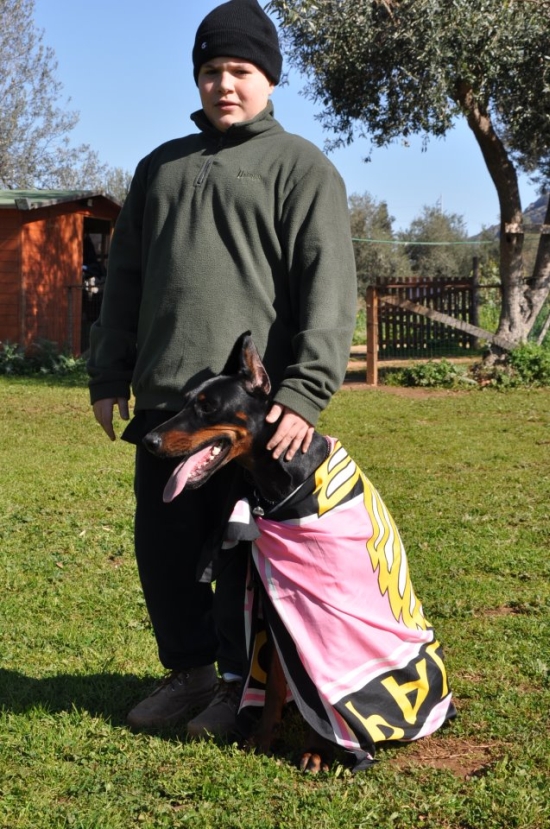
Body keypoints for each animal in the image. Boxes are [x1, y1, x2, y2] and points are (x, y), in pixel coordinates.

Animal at [144, 333, 455, 773]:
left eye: (207, 406)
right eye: (186, 401)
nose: (149, 441)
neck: (284, 487)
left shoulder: (319, 617)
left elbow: (319, 690)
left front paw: (317, 749)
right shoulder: (275, 611)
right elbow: (277, 684)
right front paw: (262, 737)